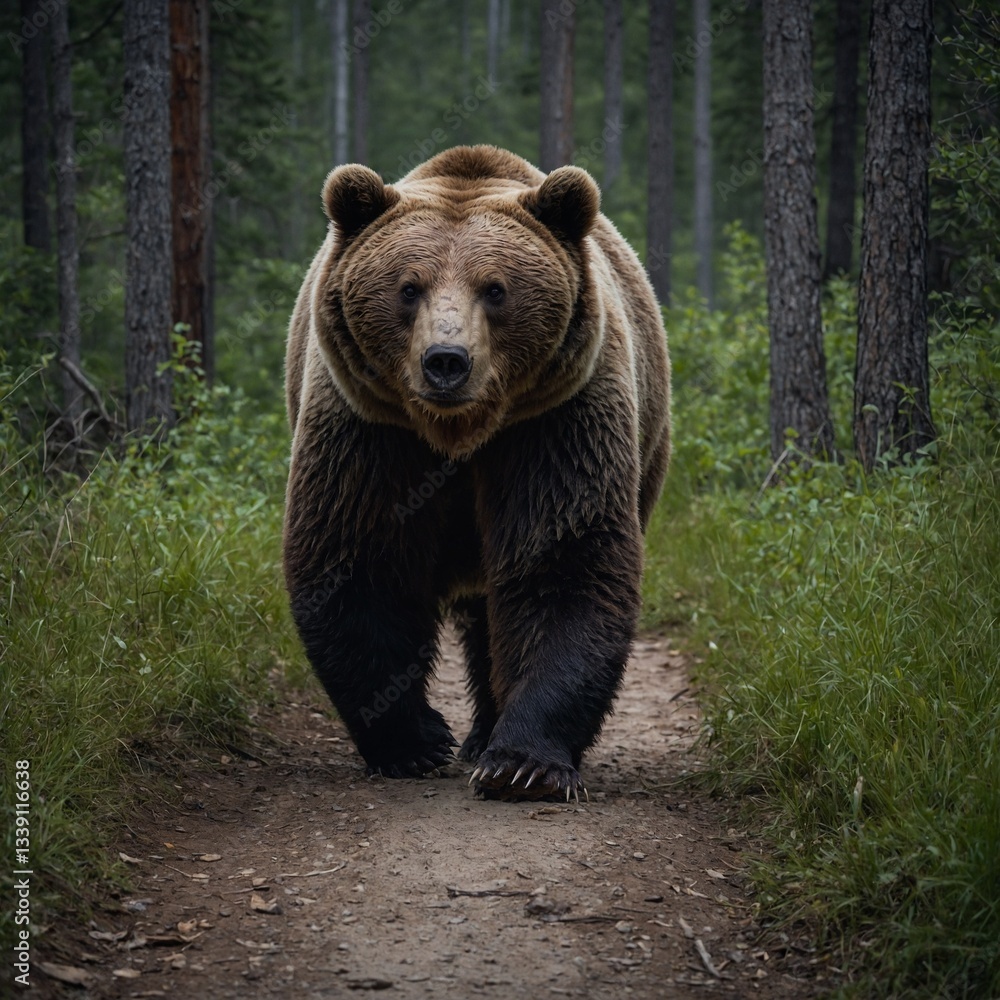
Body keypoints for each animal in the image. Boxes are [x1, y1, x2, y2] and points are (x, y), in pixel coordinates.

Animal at [283, 145, 670, 801]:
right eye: (408, 287)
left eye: (495, 289)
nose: (446, 361)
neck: (458, 432)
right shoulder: (370, 426)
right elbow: (359, 556)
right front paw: (414, 742)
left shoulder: (554, 420)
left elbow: (560, 560)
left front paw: (524, 764)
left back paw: (486, 734)